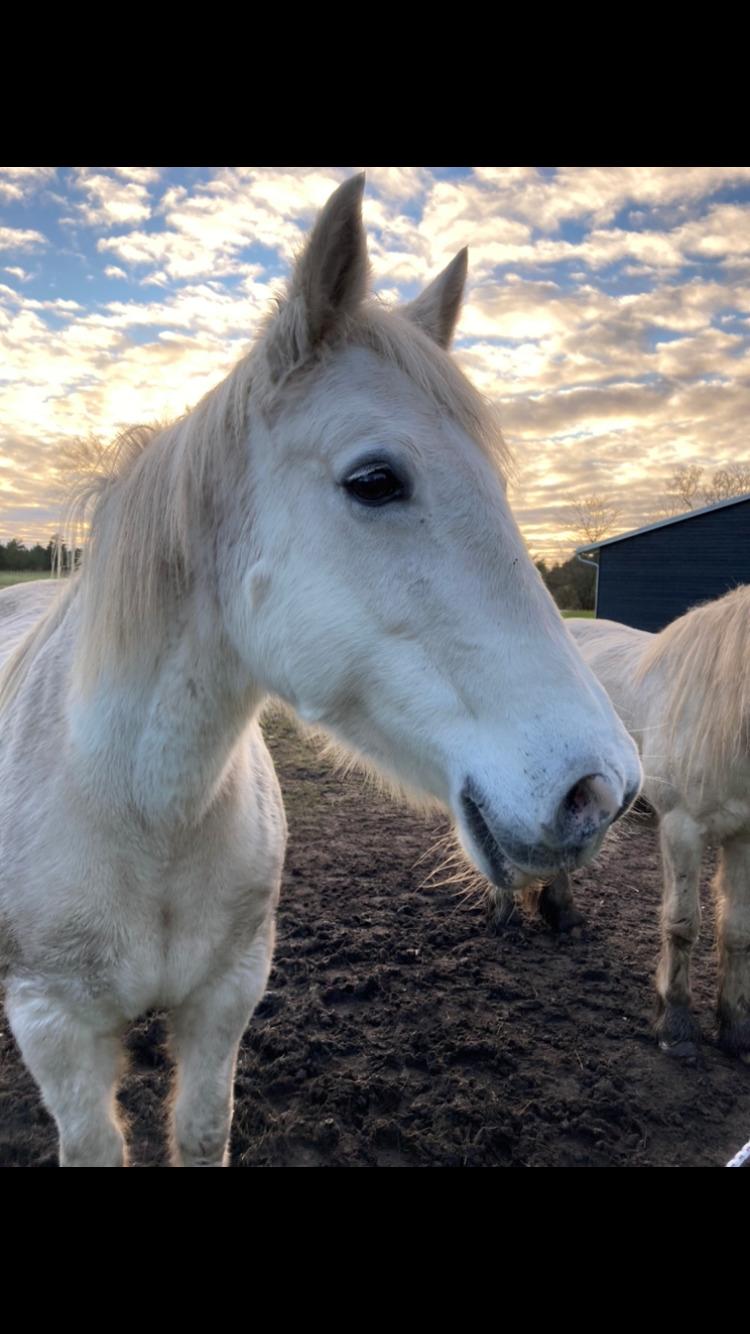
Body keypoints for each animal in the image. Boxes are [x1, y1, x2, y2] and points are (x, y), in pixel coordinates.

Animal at [0, 180, 640, 1168]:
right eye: (375, 480)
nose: (599, 791)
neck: (136, 809)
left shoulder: (225, 1003)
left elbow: (202, 1129)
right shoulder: (55, 1033)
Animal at [555, 594, 747, 1061]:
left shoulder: (744, 835)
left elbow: (736, 929)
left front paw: (736, 1029)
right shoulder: (682, 827)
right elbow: (682, 923)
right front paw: (676, 1025)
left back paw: (562, 914)